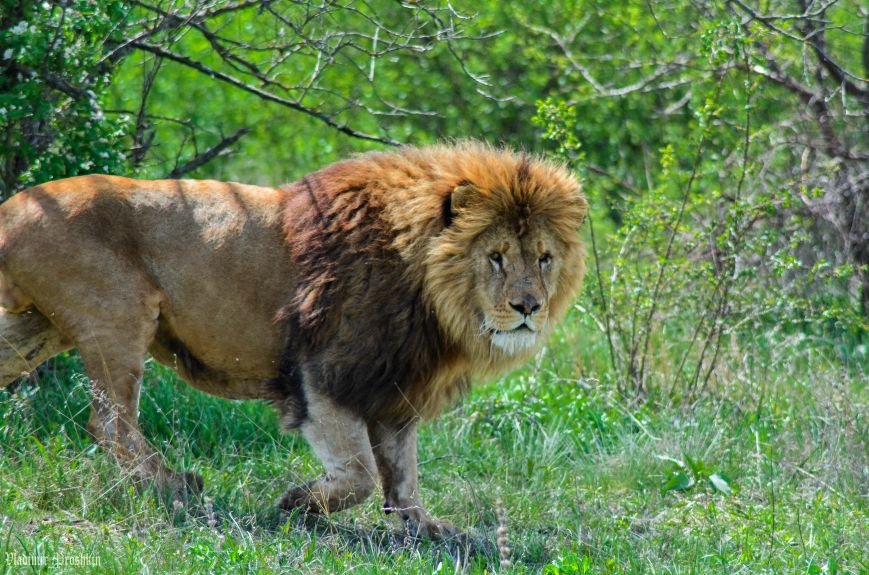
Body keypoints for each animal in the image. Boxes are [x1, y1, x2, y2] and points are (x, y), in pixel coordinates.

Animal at [0, 142, 588, 536]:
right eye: (496, 257)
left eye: (543, 257)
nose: (528, 307)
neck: (430, 293)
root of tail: (10, 209)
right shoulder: (324, 372)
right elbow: (359, 475)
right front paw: (297, 505)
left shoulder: (395, 383)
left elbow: (402, 471)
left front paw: (426, 526)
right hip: (118, 315)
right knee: (110, 424)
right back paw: (176, 488)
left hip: (37, 328)